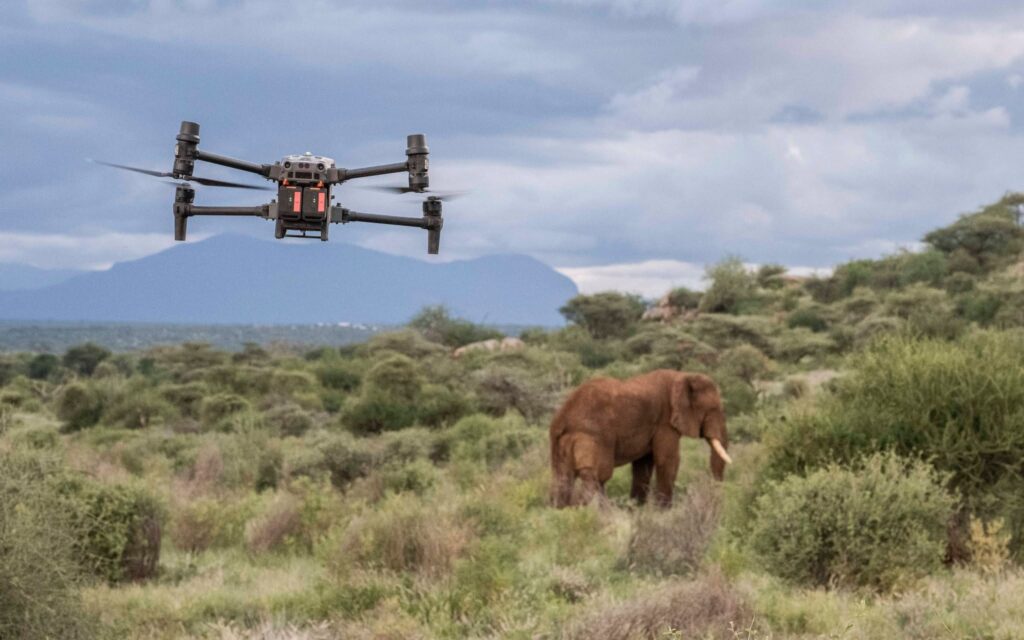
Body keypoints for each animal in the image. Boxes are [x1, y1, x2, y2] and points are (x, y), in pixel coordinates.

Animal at [549, 369, 732, 507]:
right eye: (712, 409)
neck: (683, 376)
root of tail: (562, 418)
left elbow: (643, 465)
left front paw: (637, 509)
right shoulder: (665, 422)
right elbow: (668, 460)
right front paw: (663, 512)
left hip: (560, 443)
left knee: (563, 478)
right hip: (592, 436)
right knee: (597, 475)